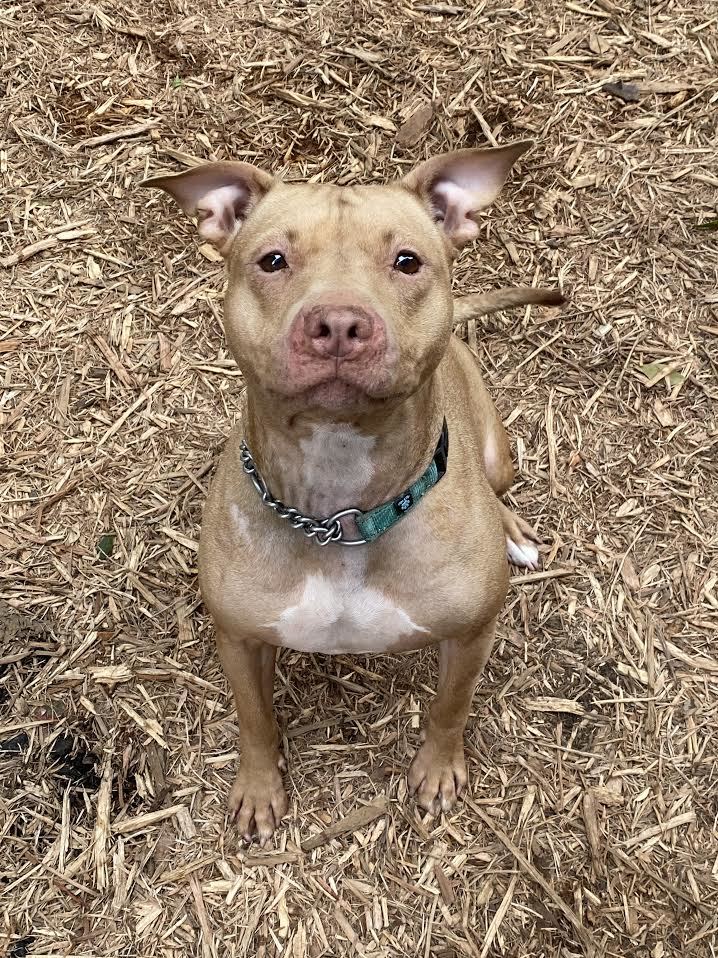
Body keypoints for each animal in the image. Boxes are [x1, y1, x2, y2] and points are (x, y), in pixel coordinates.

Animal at [143, 139, 564, 844]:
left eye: (407, 261)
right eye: (273, 260)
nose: (339, 323)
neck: (340, 513)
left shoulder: (471, 634)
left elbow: (451, 705)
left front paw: (438, 771)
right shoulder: (240, 638)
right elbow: (255, 719)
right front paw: (260, 790)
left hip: (495, 451)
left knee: (497, 486)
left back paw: (511, 530)